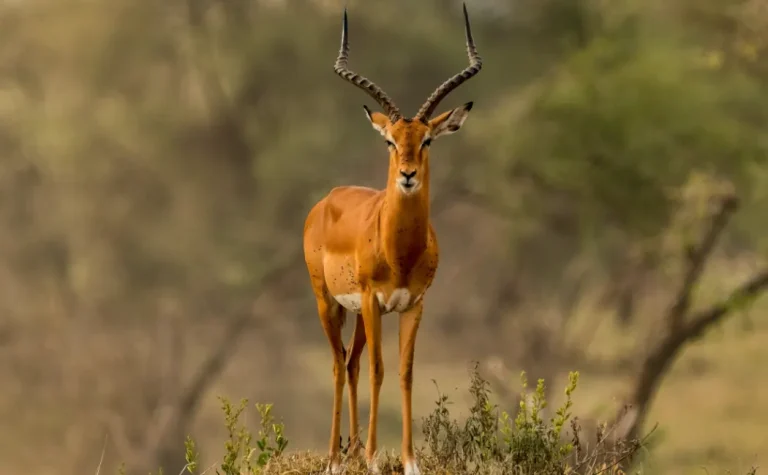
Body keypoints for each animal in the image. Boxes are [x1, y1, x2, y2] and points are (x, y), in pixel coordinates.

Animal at [302, 4, 482, 474]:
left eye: (427, 140)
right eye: (389, 140)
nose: (407, 175)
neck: (399, 252)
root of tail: (327, 200)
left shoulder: (412, 305)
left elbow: (404, 372)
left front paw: (409, 460)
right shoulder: (371, 300)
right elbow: (380, 370)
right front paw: (372, 458)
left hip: (362, 315)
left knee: (350, 363)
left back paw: (347, 451)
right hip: (329, 302)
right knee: (337, 364)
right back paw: (335, 458)